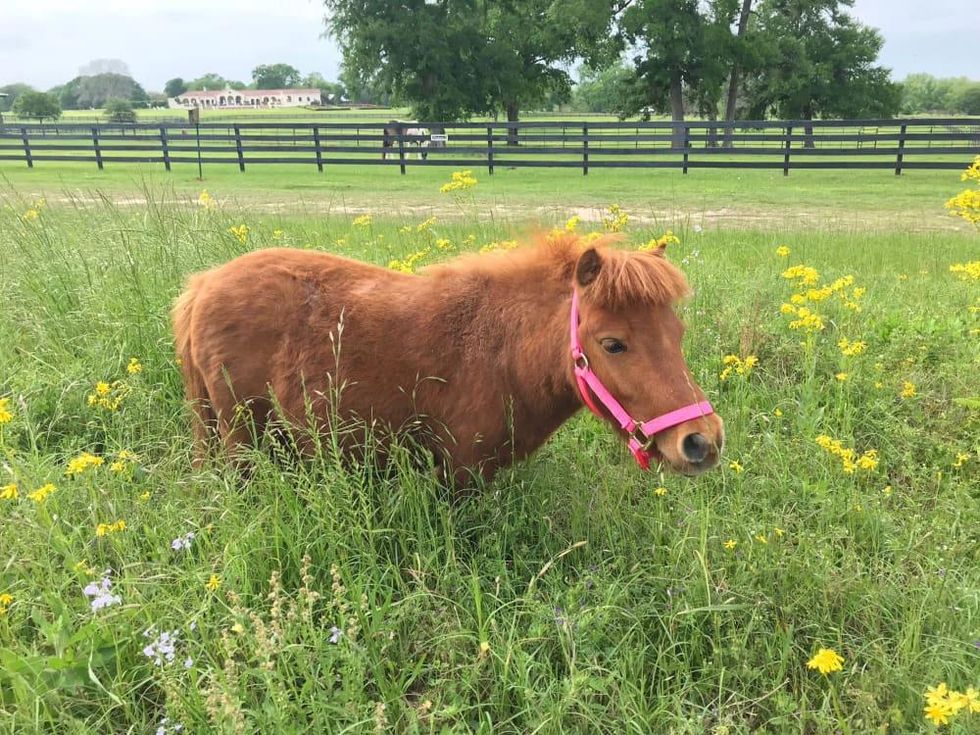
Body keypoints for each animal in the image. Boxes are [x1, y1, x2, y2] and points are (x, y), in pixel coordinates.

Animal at [172, 234, 724, 485]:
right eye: (613, 344)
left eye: (677, 333)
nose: (703, 441)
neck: (500, 350)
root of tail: (203, 285)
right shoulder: (458, 476)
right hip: (242, 441)